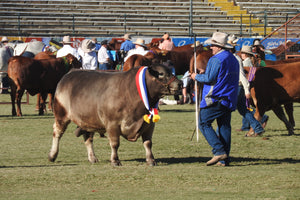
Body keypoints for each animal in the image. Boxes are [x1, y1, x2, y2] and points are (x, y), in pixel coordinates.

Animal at [48, 64, 182, 166]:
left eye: (171, 71)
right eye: (161, 74)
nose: (180, 83)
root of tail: (70, 73)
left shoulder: (149, 125)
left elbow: (148, 143)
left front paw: (151, 160)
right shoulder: (112, 124)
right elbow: (115, 143)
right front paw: (115, 160)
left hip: (88, 120)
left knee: (88, 138)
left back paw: (92, 158)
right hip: (61, 115)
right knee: (57, 133)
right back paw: (52, 155)